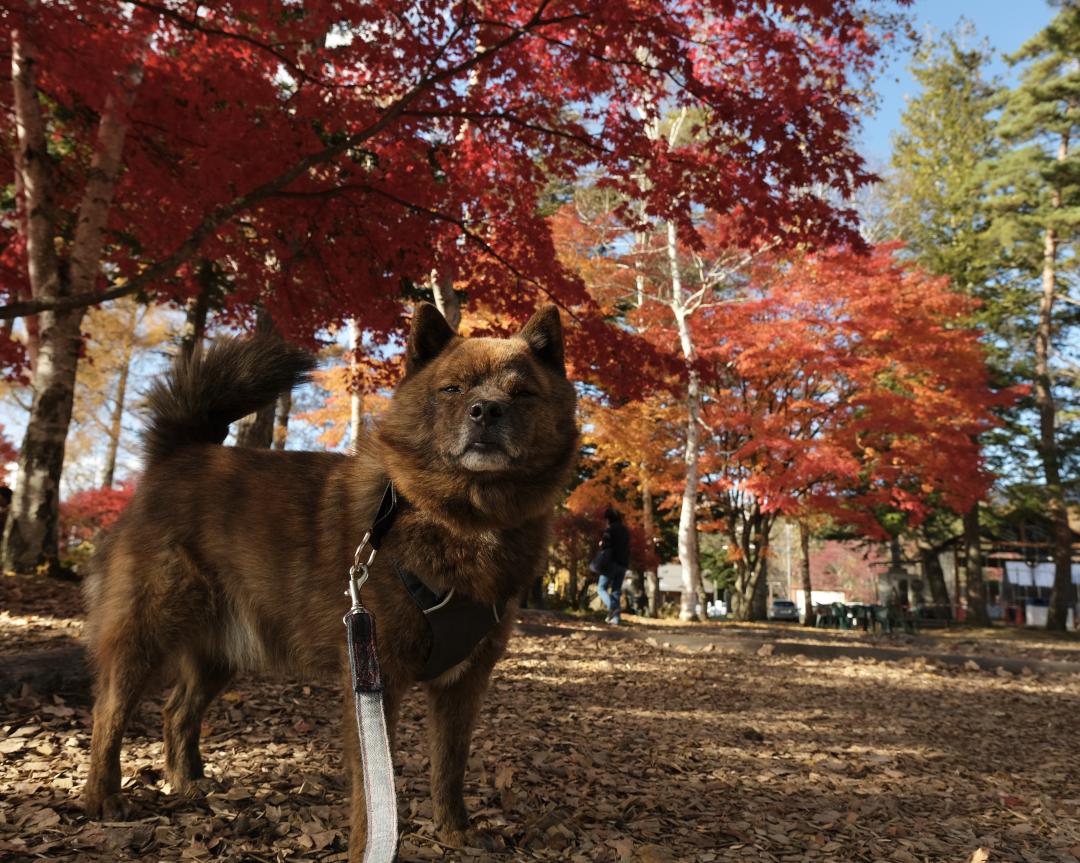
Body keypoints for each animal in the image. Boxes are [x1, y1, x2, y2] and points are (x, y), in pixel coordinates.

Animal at [83, 304, 578, 855]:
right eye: (453, 389)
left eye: (522, 393)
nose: (487, 410)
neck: (461, 521)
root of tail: (179, 454)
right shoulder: (374, 681)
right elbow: (372, 792)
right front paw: (370, 847)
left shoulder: (463, 686)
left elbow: (450, 768)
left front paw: (455, 832)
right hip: (145, 634)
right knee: (109, 712)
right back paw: (103, 797)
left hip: (221, 650)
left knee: (177, 711)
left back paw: (186, 781)